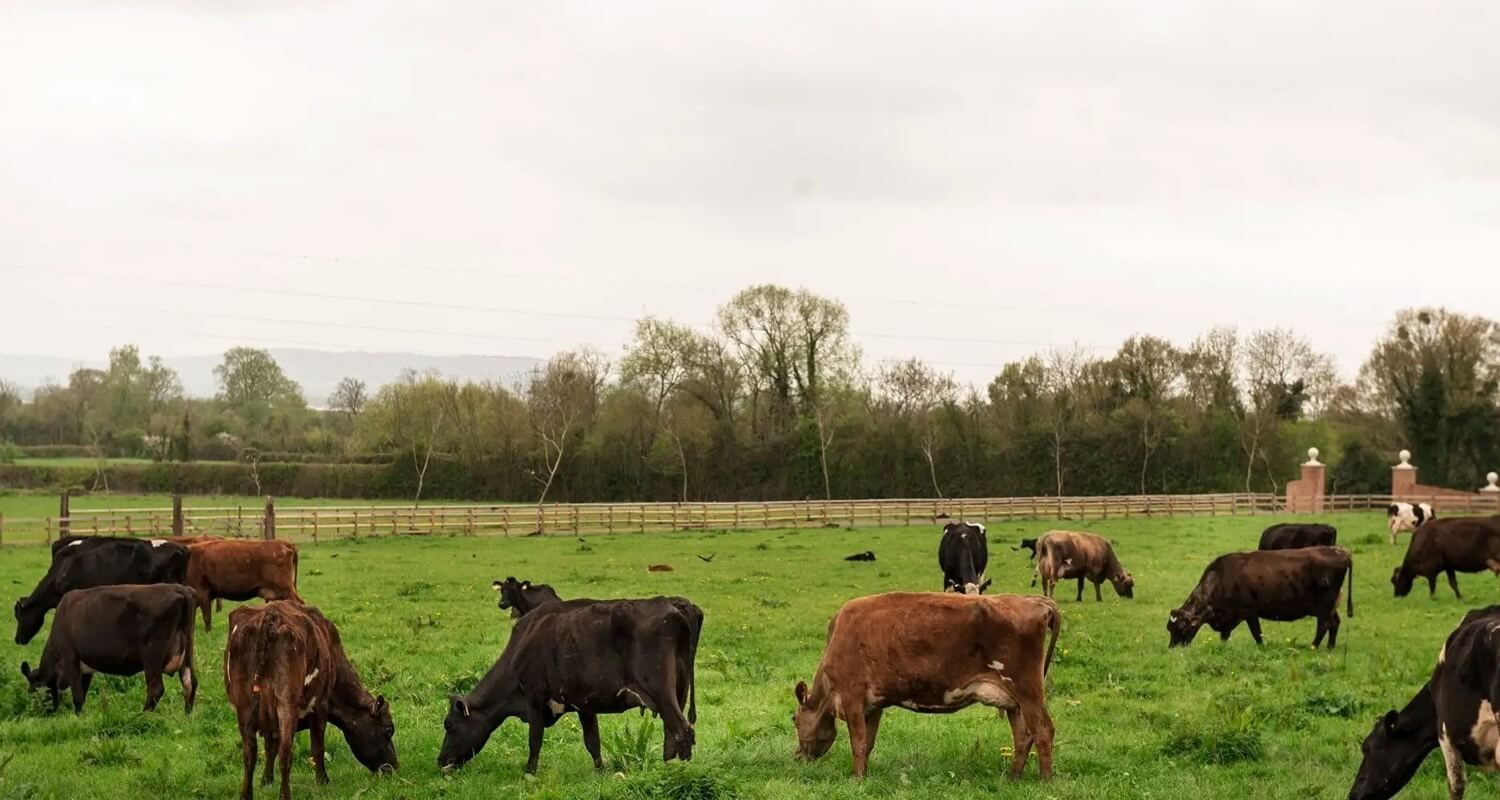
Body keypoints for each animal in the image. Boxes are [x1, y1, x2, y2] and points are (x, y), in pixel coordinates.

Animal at [20, 584, 197, 714]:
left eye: (33, 691)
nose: (41, 712)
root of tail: (179, 588)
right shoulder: (86, 669)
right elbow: (83, 692)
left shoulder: (69, 658)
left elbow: (77, 695)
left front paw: (78, 716)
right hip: (186, 653)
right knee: (190, 683)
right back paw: (187, 715)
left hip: (152, 655)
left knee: (156, 688)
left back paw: (143, 715)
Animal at [225, 601, 397, 800]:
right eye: (389, 729)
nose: (394, 767)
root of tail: (270, 616)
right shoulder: (320, 706)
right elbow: (318, 747)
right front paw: (323, 781)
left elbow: (270, 747)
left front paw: (266, 780)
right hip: (286, 701)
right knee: (286, 750)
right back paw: (285, 795)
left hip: (245, 703)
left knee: (250, 751)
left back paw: (247, 794)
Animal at [438, 596, 703, 774]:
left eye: (449, 725)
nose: (440, 761)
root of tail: (677, 604)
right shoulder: (585, 702)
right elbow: (592, 741)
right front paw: (601, 771)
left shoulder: (534, 696)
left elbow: (535, 739)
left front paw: (529, 772)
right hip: (679, 691)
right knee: (672, 734)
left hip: (661, 690)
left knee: (682, 731)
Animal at [792, 592, 1060, 779]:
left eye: (794, 719)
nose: (796, 757)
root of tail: (1033, 600)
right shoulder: (874, 704)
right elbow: (868, 742)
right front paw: (864, 775)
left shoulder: (852, 695)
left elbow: (857, 741)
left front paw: (856, 779)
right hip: (1014, 701)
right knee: (1024, 736)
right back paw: (1013, 777)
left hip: (1027, 690)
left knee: (1043, 730)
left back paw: (1044, 780)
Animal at [1167, 546, 1353, 649]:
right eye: (1170, 629)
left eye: (1181, 628)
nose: (1172, 648)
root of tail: (1340, 551)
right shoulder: (1230, 616)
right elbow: (1224, 637)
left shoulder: (1249, 612)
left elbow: (1257, 634)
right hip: (1330, 606)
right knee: (1334, 623)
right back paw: (1330, 647)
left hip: (1323, 607)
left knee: (1324, 625)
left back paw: (1313, 646)